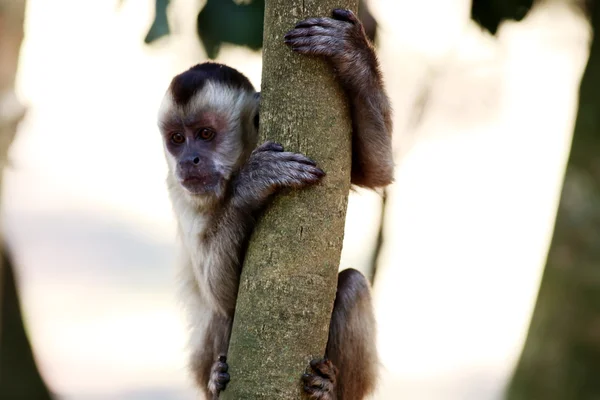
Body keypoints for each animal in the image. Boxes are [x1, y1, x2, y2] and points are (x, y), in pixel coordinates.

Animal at [157, 7, 394, 400]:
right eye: (177, 139)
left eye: (205, 134)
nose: (188, 160)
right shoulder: (179, 189)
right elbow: (222, 298)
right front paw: (254, 183)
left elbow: (377, 171)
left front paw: (350, 51)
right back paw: (215, 380)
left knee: (353, 285)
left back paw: (331, 389)